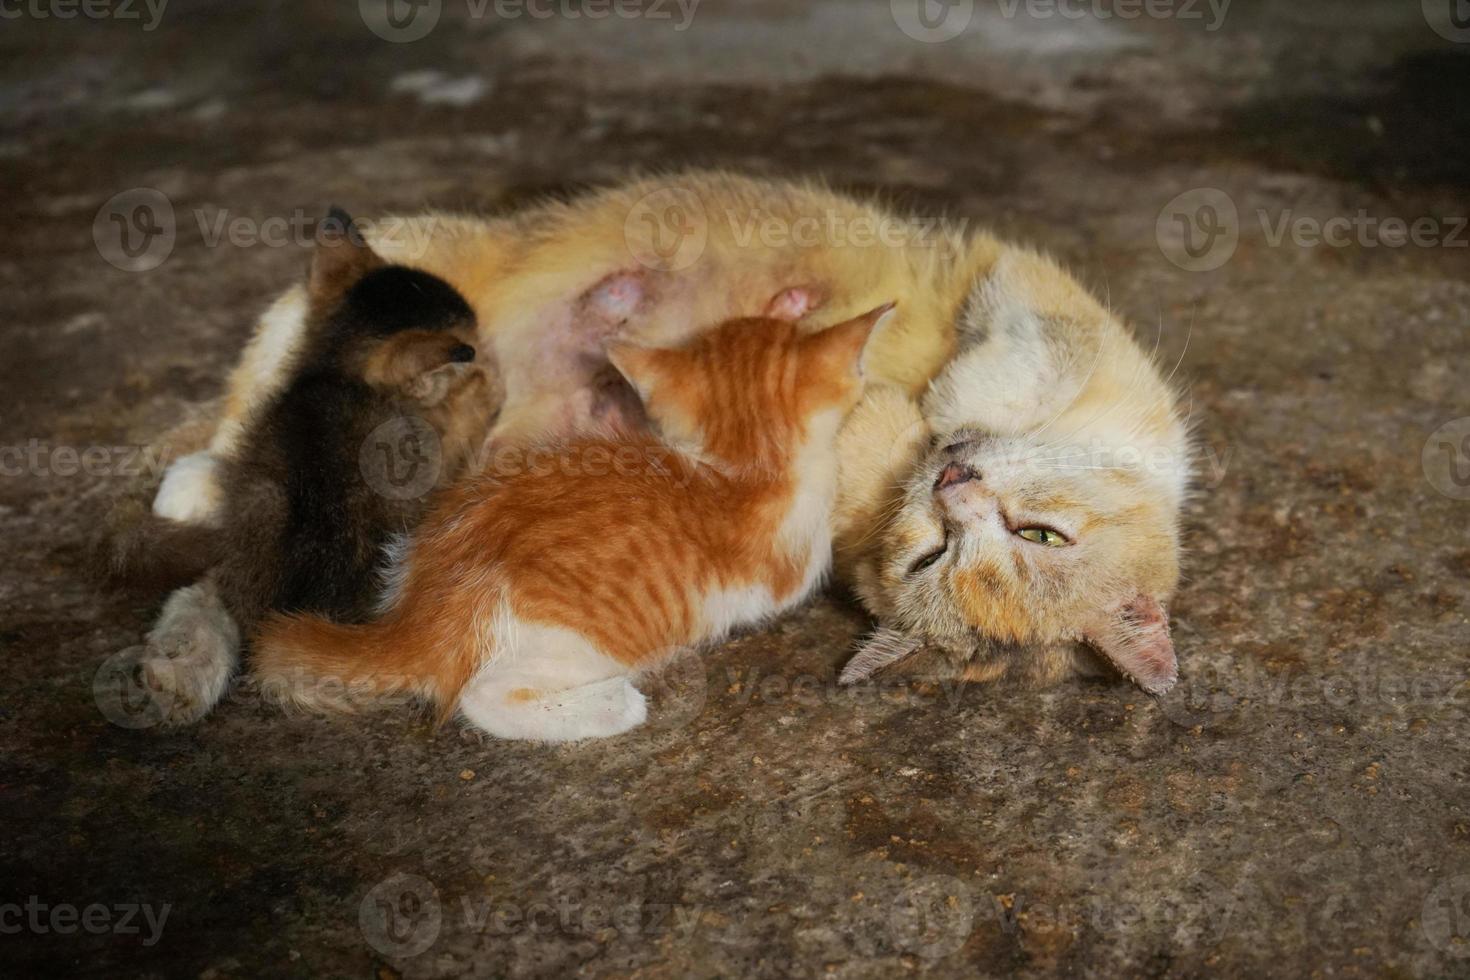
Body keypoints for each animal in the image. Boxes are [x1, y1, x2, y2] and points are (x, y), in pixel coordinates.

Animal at [252, 302, 887, 740]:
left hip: (411, 543)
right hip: (574, 643)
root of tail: (423, 619)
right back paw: (612, 705)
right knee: (484, 697)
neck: (747, 458)